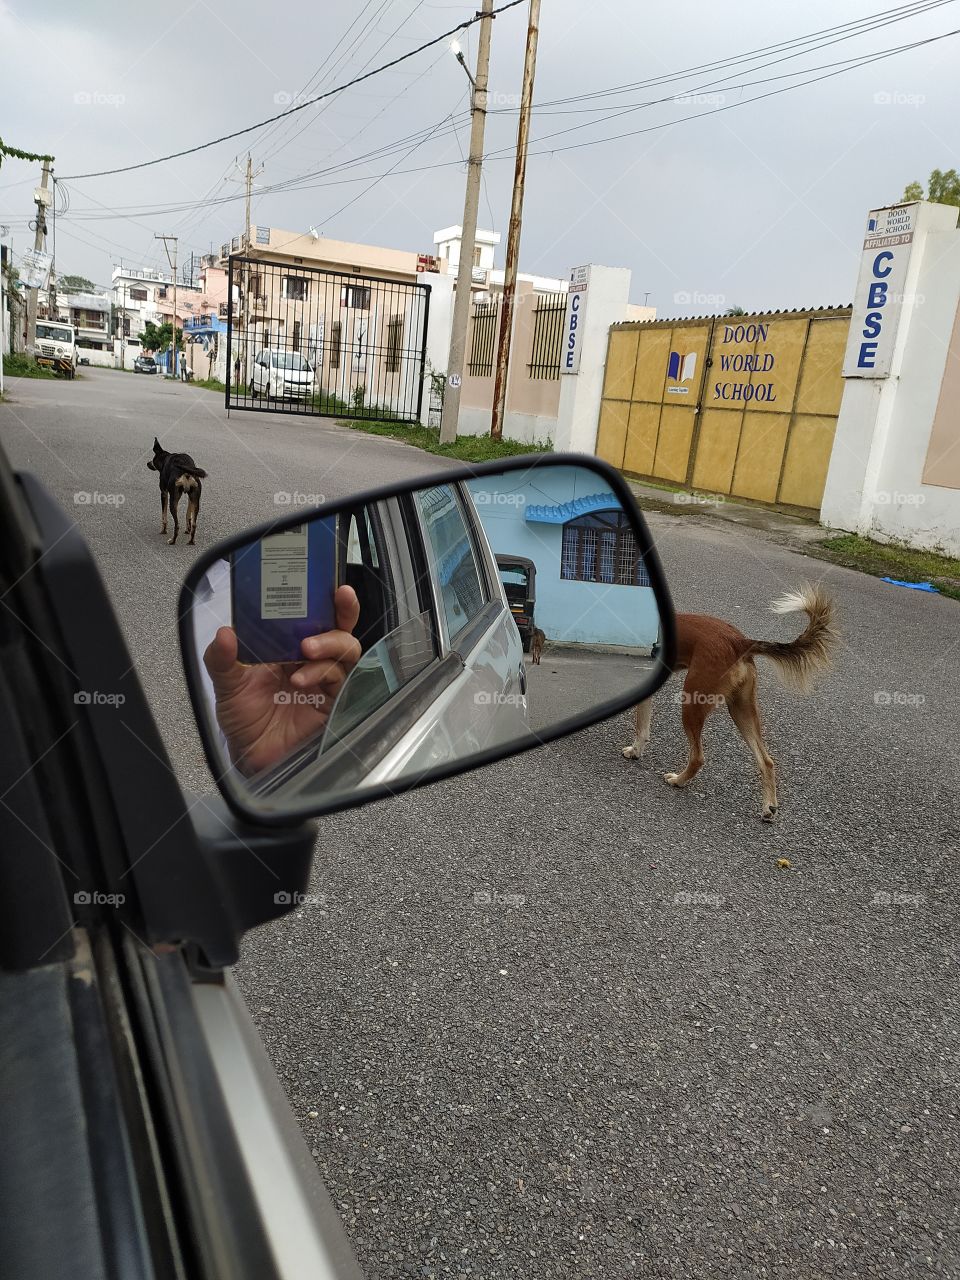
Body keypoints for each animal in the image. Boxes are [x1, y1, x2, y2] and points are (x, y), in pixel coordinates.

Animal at [627, 586, 839, 819]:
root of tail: (739, 641)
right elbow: (642, 728)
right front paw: (635, 751)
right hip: (741, 709)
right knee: (766, 761)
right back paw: (769, 807)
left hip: (692, 702)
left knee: (698, 757)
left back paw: (678, 780)